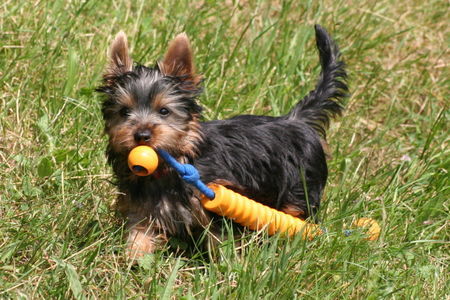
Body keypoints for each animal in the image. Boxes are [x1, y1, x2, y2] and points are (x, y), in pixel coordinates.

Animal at [96, 24, 348, 256]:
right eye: (124, 112)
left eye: (164, 111)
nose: (142, 135)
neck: (171, 166)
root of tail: (297, 120)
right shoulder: (142, 207)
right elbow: (140, 236)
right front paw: (133, 263)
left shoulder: (221, 203)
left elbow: (221, 241)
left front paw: (226, 267)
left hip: (301, 188)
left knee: (296, 216)